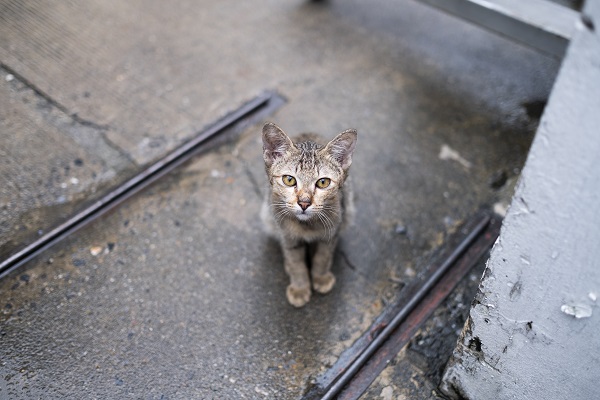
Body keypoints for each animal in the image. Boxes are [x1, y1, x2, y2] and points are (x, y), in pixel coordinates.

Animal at [262, 122, 356, 306]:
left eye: (323, 182)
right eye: (289, 180)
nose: (304, 203)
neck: (307, 225)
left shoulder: (332, 232)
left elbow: (323, 256)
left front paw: (320, 277)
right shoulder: (287, 236)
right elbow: (296, 262)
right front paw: (300, 287)